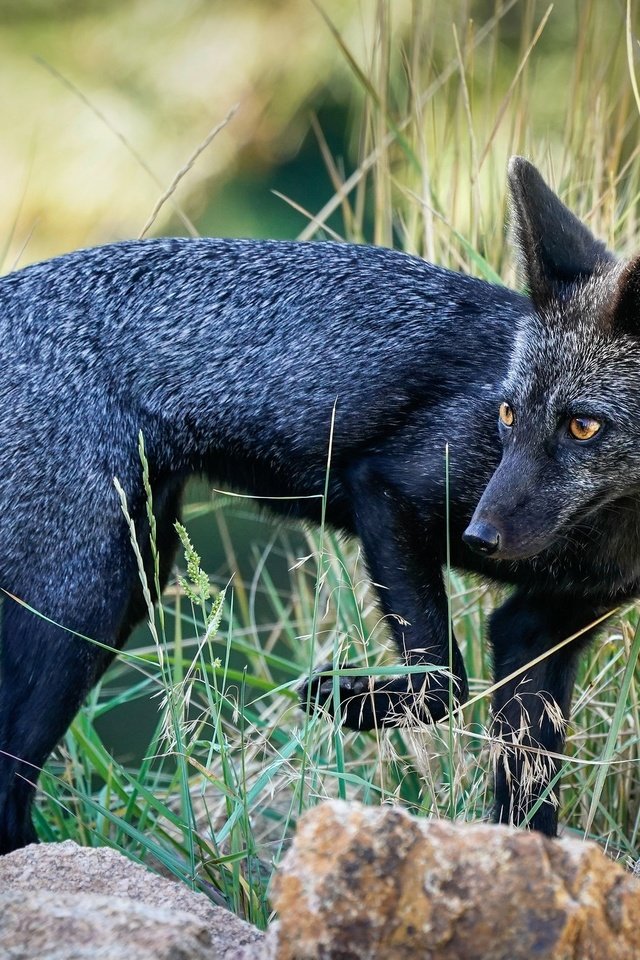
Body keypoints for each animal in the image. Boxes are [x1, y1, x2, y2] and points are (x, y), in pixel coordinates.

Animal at [0, 158, 632, 856]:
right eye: (508, 414)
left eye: (582, 427)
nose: (480, 537)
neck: (608, 534)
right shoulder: (388, 488)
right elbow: (442, 682)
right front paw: (341, 700)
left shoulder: (543, 626)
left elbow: (528, 806)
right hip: (81, 602)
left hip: (134, 576)